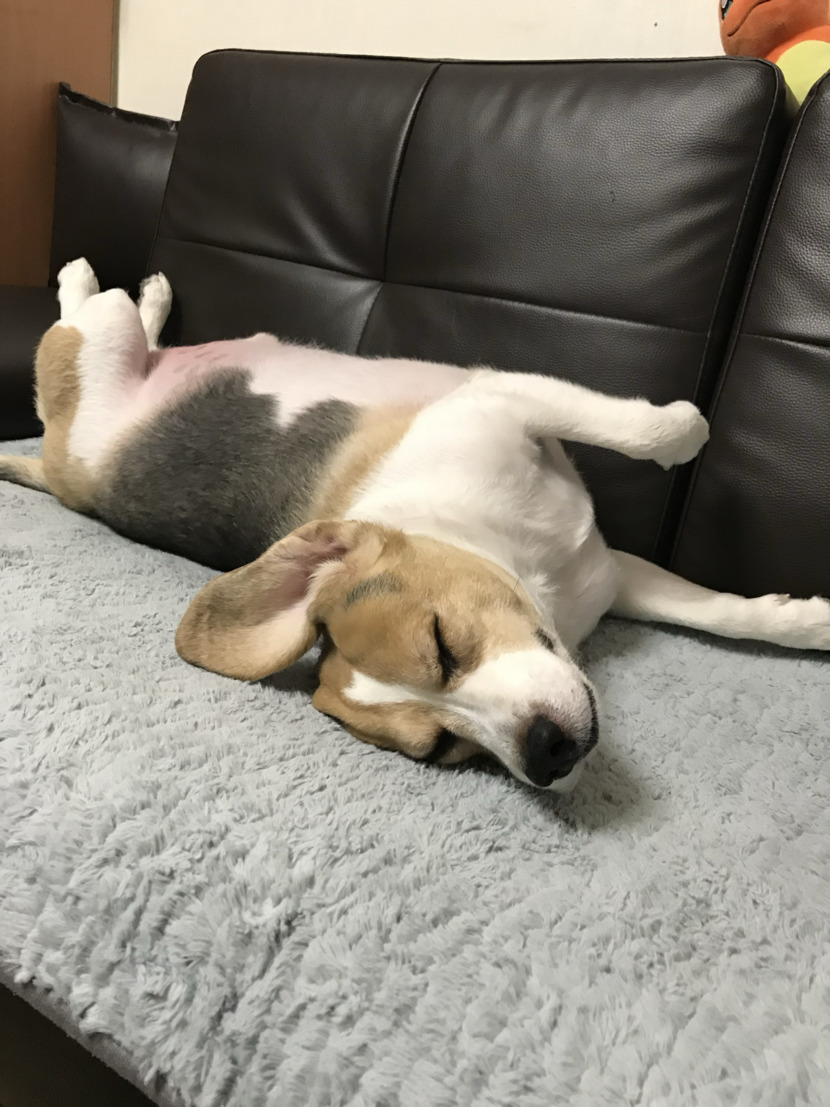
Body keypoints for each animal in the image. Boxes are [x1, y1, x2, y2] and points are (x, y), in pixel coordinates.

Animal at [2, 258, 828, 791]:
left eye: (443, 642)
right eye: (444, 749)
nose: (548, 753)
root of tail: (57, 460)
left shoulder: (542, 457)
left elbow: (722, 600)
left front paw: (804, 620)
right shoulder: (518, 415)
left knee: (122, 321)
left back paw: (143, 294)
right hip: (96, 351)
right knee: (86, 313)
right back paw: (88, 280)